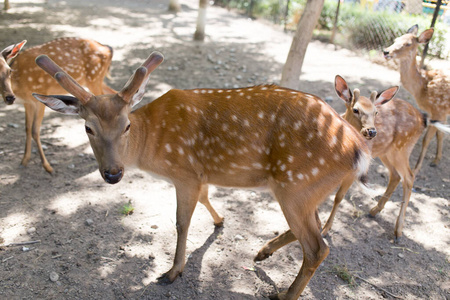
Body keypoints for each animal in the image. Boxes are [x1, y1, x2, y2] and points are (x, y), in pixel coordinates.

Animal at [0, 37, 116, 173]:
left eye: (9, 70)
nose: (10, 98)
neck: (19, 86)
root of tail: (108, 48)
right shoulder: (27, 102)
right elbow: (27, 128)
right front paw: (24, 161)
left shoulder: (40, 96)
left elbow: (35, 130)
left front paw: (47, 166)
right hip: (94, 80)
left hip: (94, 78)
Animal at [30, 52, 370, 298]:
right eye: (88, 128)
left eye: (126, 125)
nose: (113, 173)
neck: (151, 146)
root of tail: (358, 149)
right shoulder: (200, 174)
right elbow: (207, 199)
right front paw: (220, 221)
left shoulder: (184, 173)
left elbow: (182, 223)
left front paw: (172, 272)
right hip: (307, 189)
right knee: (317, 230)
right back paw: (262, 252)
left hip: (295, 184)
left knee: (317, 247)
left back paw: (284, 294)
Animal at [384, 25, 450, 173]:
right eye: (396, 39)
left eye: (408, 44)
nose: (386, 51)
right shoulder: (438, 112)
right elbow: (440, 134)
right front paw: (436, 160)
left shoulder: (439, 109)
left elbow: (426, 138)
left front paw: (416, 168)